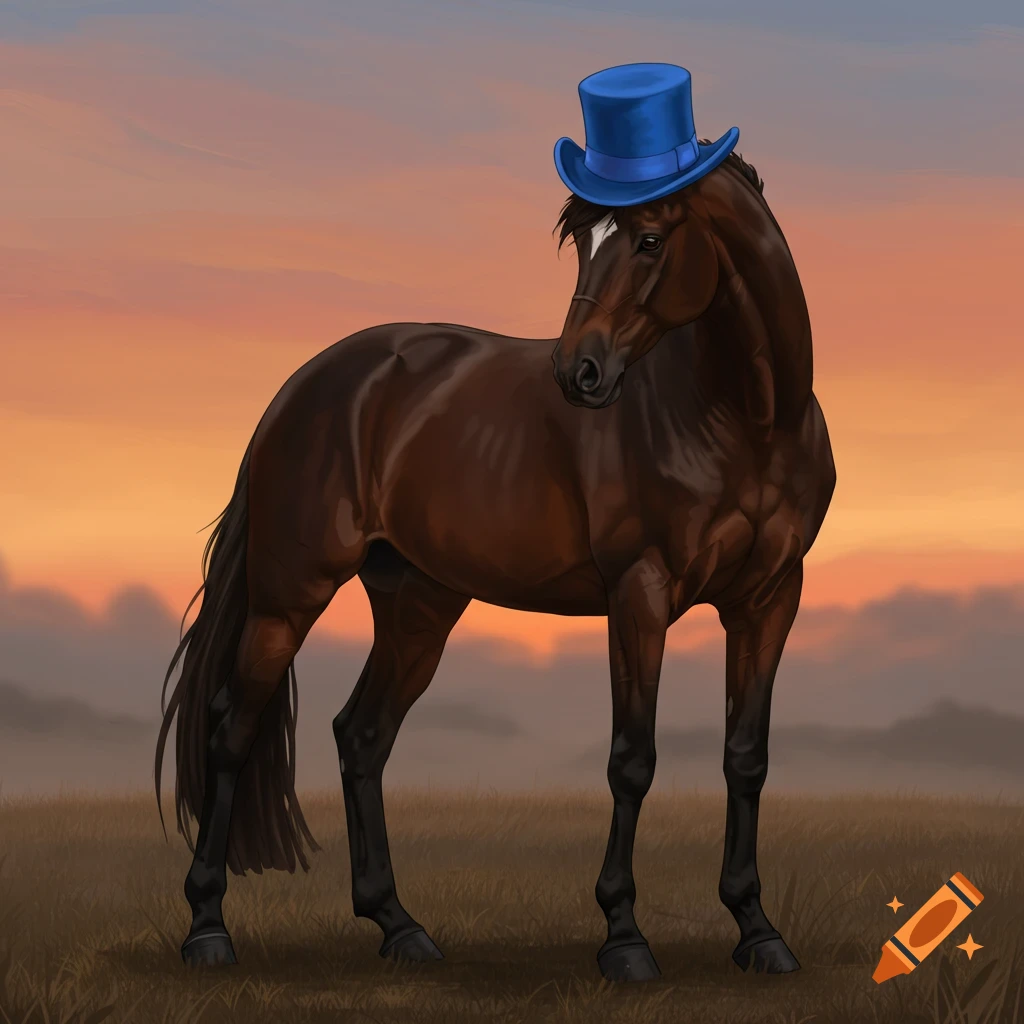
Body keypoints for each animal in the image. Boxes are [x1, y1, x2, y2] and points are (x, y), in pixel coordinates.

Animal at [155, 145, 835, 983]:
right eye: (582, 243)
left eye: (649, 239)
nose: (578, 373)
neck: (747, 418)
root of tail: (306, 386)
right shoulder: (639, 593)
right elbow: (631, 759)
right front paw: (624, 938)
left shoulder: (770, 597)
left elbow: (746, 758)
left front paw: (757, 931)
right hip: (290, 596)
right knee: (232, 730)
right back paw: (207, 929)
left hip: (419, 604)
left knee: (362, 735)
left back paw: (399, 927)